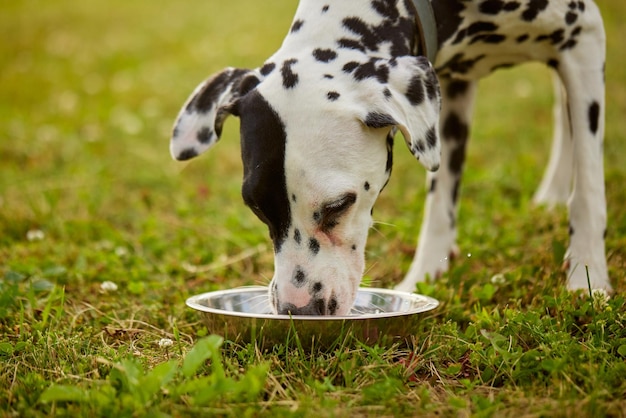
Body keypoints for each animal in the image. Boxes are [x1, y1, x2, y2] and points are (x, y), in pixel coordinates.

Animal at [171, 0, 608, 314]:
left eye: (339, 205)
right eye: (257, 207)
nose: (299, 309)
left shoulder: (585, 37)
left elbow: (589, 189)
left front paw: (587, 280)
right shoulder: (450, 90)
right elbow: (440, 201)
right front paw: (425, 276)